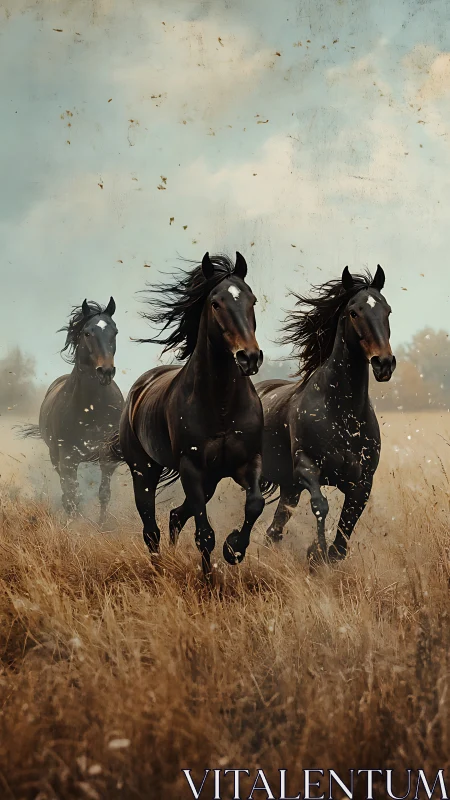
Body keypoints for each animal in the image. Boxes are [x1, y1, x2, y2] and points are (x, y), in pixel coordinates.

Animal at [20, 298, 124, 525]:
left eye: (115, 331)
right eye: (87, 333)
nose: (106, 371)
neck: (92, 409)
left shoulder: (107, 458)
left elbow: (104, 493)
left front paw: (101, 525)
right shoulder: (67, 459)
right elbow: (72, 494)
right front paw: (75, 525)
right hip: (56, 458)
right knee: (67, 492)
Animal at [113, 252, 265, 575]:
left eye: (253, 300)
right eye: (216, 303)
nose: (249, 357)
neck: (221, 404)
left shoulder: (248, 461)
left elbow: (254, 504)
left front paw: (234, 548)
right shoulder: (191, 467)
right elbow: (204, 534)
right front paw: (208, 579)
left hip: (210, 480)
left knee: (175, 516)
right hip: (144, 470)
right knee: (151, 528)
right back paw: (158, 569)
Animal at [256, 265, 396, 563]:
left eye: (387, 310)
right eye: (354, 312)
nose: (384, 363)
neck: (341, 413)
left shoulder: (361, 483)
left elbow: (344, 533)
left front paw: (325, 556)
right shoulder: (306, 467)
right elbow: (321, 505)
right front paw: (316, 551)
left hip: (289, 488)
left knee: (275, 527)